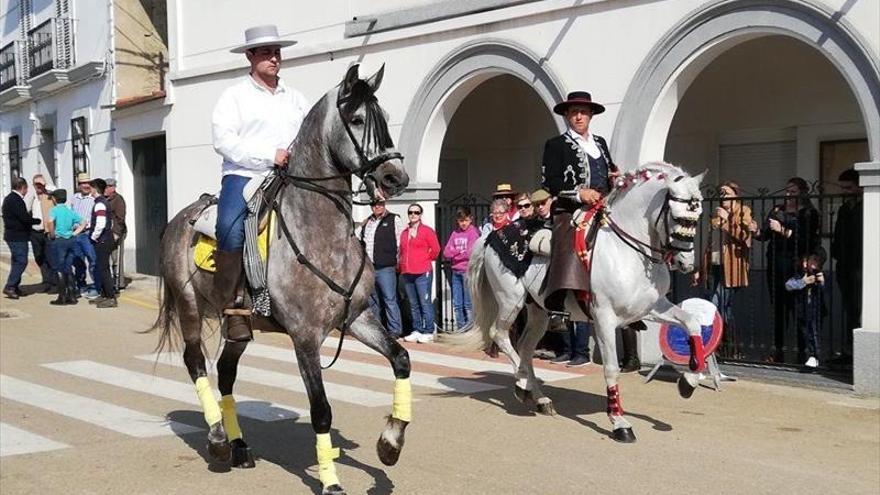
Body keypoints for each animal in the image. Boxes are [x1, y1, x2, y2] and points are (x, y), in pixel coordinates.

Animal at [151, 66, 412, 495]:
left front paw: (390, 443)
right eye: (358, 119)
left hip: (238, 326)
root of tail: (179, 218)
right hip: (189, 306)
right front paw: (331, 481)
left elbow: (401, 359)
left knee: (226, 372)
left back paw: (239, 446)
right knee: (196, 363)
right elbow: (321, 411)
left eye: (386, 118)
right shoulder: (305, 337)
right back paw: (218, 440)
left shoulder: (357, 317)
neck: (321, 234)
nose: (395, 177)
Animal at [444, 165, 704, 444]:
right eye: (677, 217)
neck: (627, 252)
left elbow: (692, 322)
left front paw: (690, 380)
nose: (687, 264)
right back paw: (523, 385)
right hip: (510, 301)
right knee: (500, 335)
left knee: (524, 348)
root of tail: (492, 235)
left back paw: (539, 398)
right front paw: (619, 422)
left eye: (697, 216)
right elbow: (611, 368)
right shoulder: (604, 318)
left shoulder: (652, 307)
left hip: (538, 312)